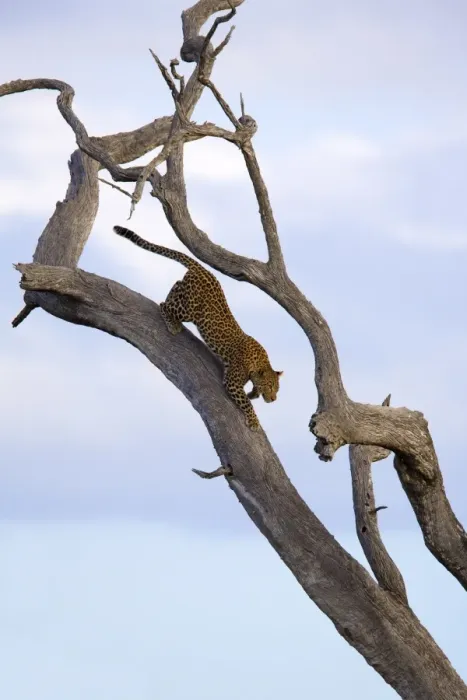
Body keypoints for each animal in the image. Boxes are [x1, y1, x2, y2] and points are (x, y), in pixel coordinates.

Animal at [113, 225, 283, 430]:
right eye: (271, 386)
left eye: (277, 388)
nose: (273, 399)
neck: (259, 363)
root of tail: (202, 269)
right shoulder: (231, 382)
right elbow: (246, 403)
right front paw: (254, 420)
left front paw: (254, 393)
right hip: (189, 310)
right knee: (164, 305)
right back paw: (172, 325)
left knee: (176, 285)